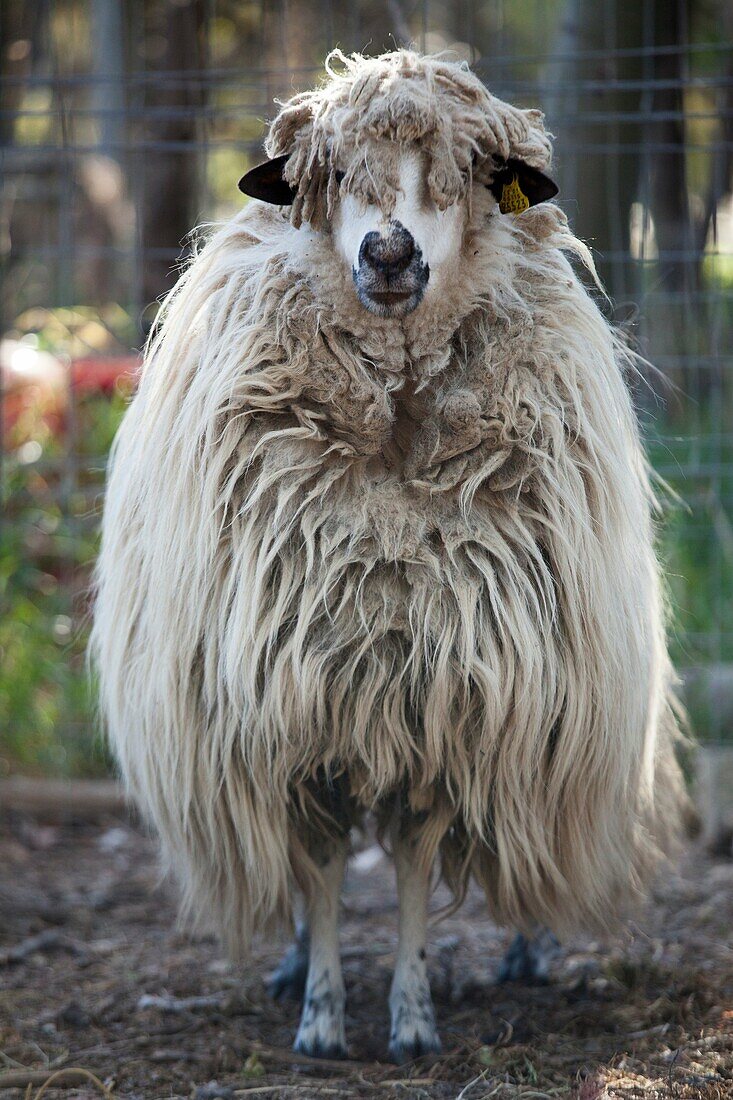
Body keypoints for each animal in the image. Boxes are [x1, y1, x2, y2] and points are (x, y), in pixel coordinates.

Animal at [93, 51, 686, 1064]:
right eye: (330, 175)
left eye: (471, 173)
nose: (388, 254)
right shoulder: (303, 699)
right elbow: (327, 867)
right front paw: (322, 1014)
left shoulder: (450, 692)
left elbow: (410, 860)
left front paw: (410, 1017)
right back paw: (295, 963)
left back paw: (526, 951)